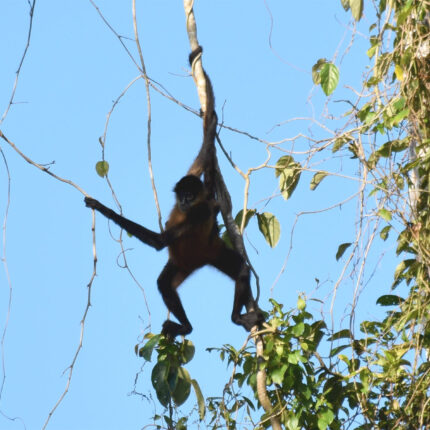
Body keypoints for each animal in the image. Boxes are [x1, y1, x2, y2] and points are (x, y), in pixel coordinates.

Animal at [85, 46, 264, 336]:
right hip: (180, 264)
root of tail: (199, 262)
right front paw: (210, 116)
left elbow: (160, 241)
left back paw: (213, 322)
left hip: (213, 252)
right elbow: (206, 149)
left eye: (189, 196)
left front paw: (102, 207)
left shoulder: (199, 211)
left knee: (240, 271)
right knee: (167, 282)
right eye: (181, 194)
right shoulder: (196, 180)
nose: (184, 201)